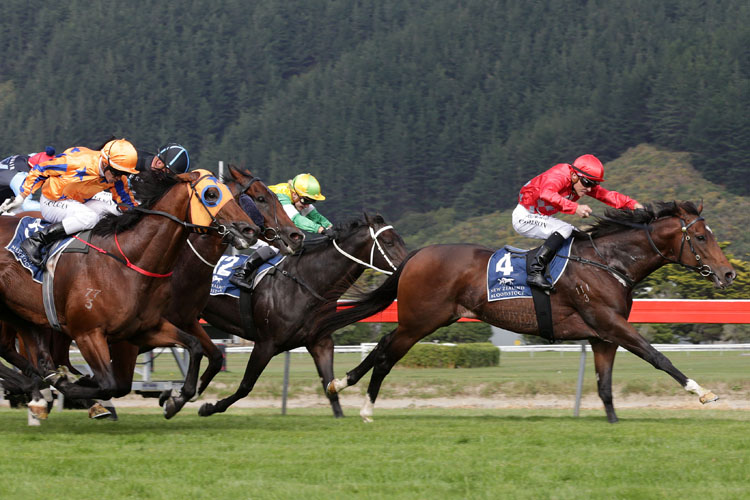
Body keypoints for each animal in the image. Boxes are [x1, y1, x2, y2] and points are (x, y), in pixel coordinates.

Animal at [0, 169, 258, 418]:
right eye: (211, 194)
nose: (250, 229)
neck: (129, 260)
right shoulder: (88, 334)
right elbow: (108, 384)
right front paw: (73, 388)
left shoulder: (144, 329)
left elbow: (194, 347)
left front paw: (175, 400)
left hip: (20, 313)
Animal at [197, 213, 408, 416]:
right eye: (388, 242)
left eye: (401, 240)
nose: (407, 266)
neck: (304, 284)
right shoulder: (266, 344)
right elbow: (245, 386)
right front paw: (209, 408)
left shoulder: (320, 343)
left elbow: (330, 387)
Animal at [320, 201, 736, 424]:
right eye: (701, 237)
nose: (728, 273)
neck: (608, 262)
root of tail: (418, 255)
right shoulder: (611, 324)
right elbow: (658, 357)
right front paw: (703, 393)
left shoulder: (602, 336)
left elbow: (604, 384)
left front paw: (614, 421)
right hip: (421, 320)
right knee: (387, 354)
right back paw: (365, 407)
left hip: (424, 319)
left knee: (382, 346)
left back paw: (340, 384)